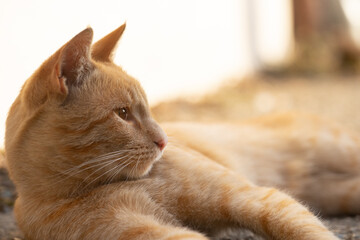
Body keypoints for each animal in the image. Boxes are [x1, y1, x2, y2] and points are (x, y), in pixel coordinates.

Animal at [4, 23, 358, 240]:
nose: (164, 141)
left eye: (149, 109)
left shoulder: (253, 197)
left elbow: (308, 231)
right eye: (123, 114)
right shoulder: (147, 231)